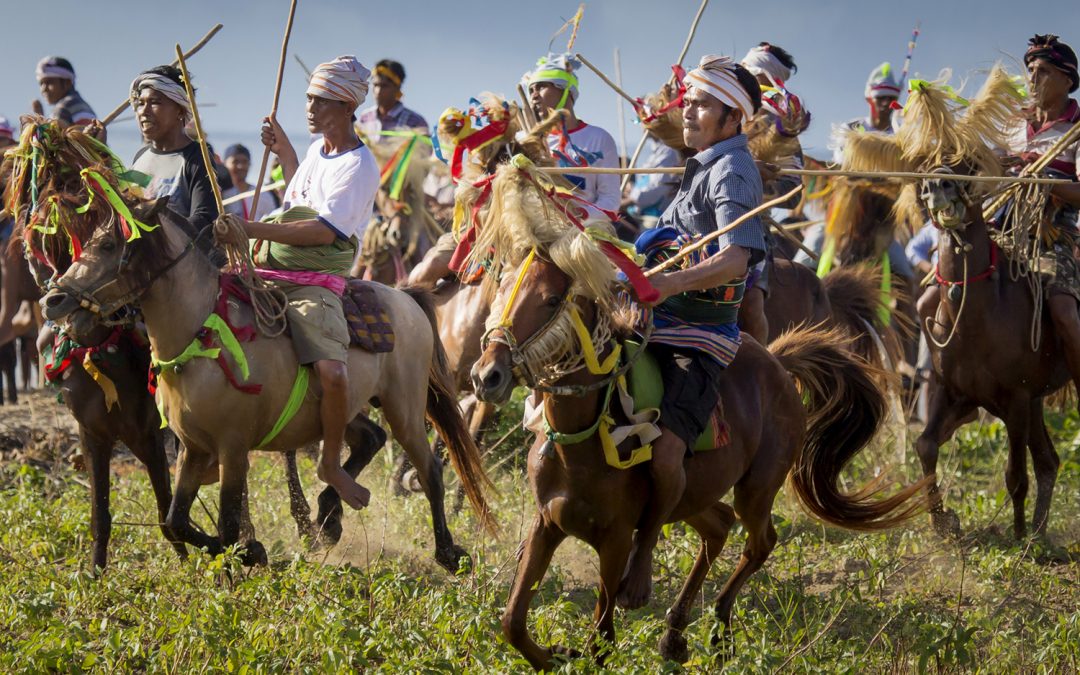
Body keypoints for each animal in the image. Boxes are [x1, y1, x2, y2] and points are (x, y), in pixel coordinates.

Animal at [468, 241, 924, 665]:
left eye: (549, 299)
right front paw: (554, 654)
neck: (586, 435)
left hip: (756, 488)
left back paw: (717, 627)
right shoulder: (546, 524)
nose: (487, 375)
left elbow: (602, 640)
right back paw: (675, 633)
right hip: (693, 496)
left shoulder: (615, 540)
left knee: (759, 541)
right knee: (719, 526)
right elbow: (512, 621)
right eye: (501, 287)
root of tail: (777, 362)